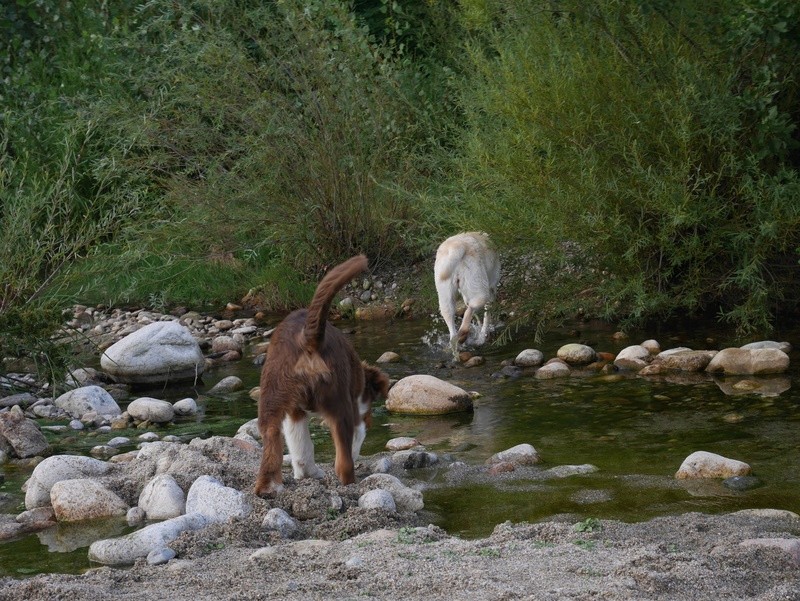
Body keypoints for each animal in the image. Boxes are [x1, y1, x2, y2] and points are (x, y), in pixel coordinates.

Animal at [255, 255, 390, 494]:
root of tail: (306, 338)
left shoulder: (294, 412)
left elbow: (301, 447)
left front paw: (307, 474)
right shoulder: (355, 412)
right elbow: (356, 438)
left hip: (271, 395)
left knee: (271, 438)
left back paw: (267, 488)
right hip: (338, 405)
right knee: (343, 462)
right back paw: (350, 484)